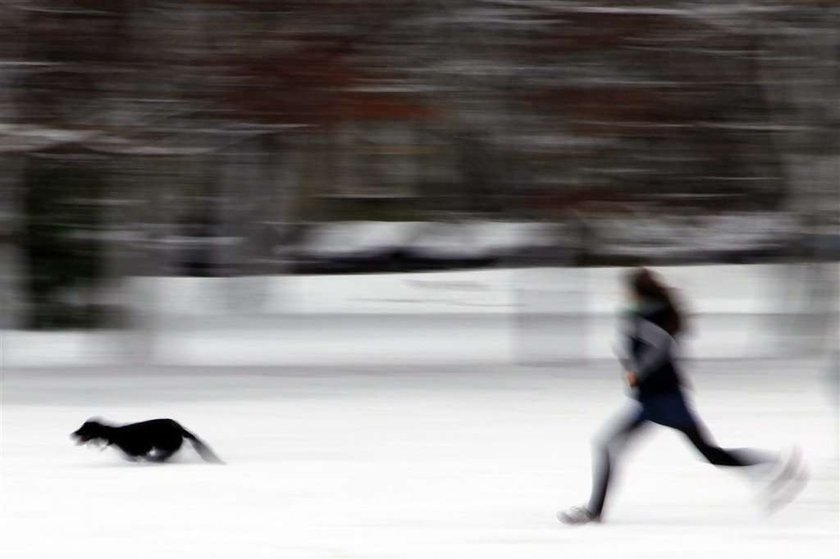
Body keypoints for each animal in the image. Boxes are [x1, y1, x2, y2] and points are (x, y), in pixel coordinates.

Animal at [73, 418, 223, 466]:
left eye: (84, 429)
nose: (71, 434)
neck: (115, 434)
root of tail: (179, 427)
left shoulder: (139, 449)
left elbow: (137, 456)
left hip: (168, 443)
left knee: (164, 455)